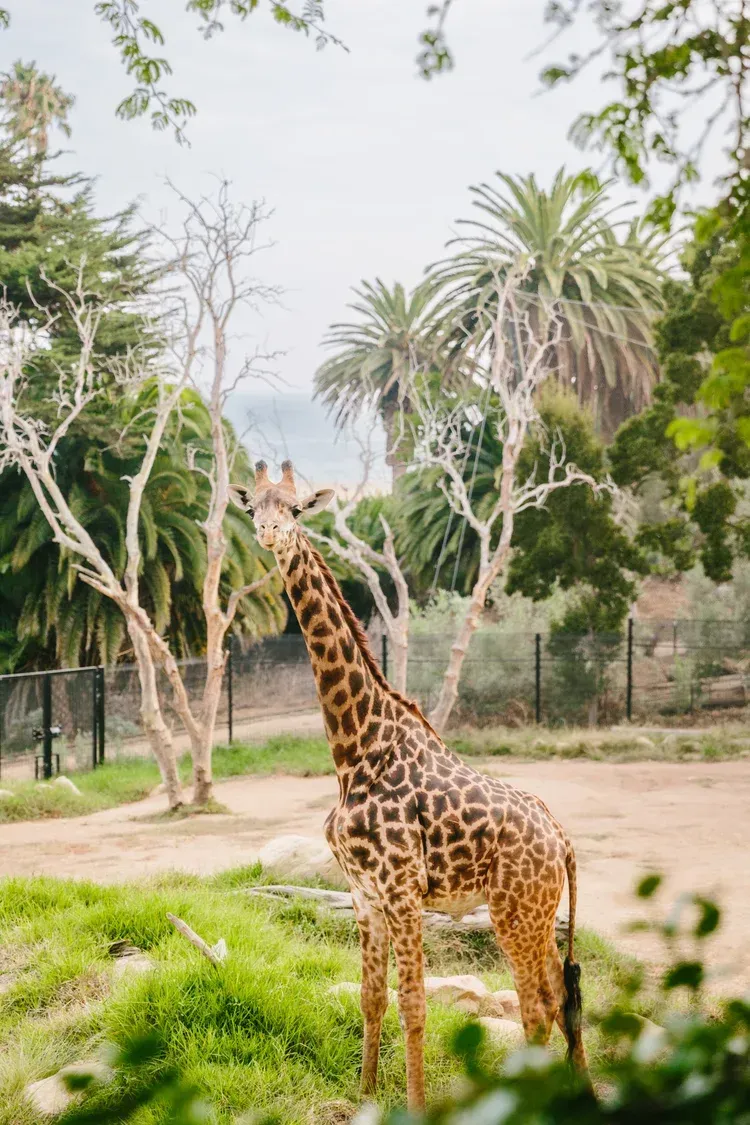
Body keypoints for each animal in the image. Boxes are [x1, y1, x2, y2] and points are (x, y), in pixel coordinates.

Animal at [231, 460, 589, 1111]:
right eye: (252, 507)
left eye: (294, 509)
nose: (270, 534)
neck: (354, 750)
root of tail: (563, 840)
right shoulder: (364, 894)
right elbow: (372, 999)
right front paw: (366, 1095)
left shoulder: (401, 893)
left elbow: (414, 1007)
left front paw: (416, 1106)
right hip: (538, 914)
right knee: (562, 997)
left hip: (516, 912)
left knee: (538, 1007)